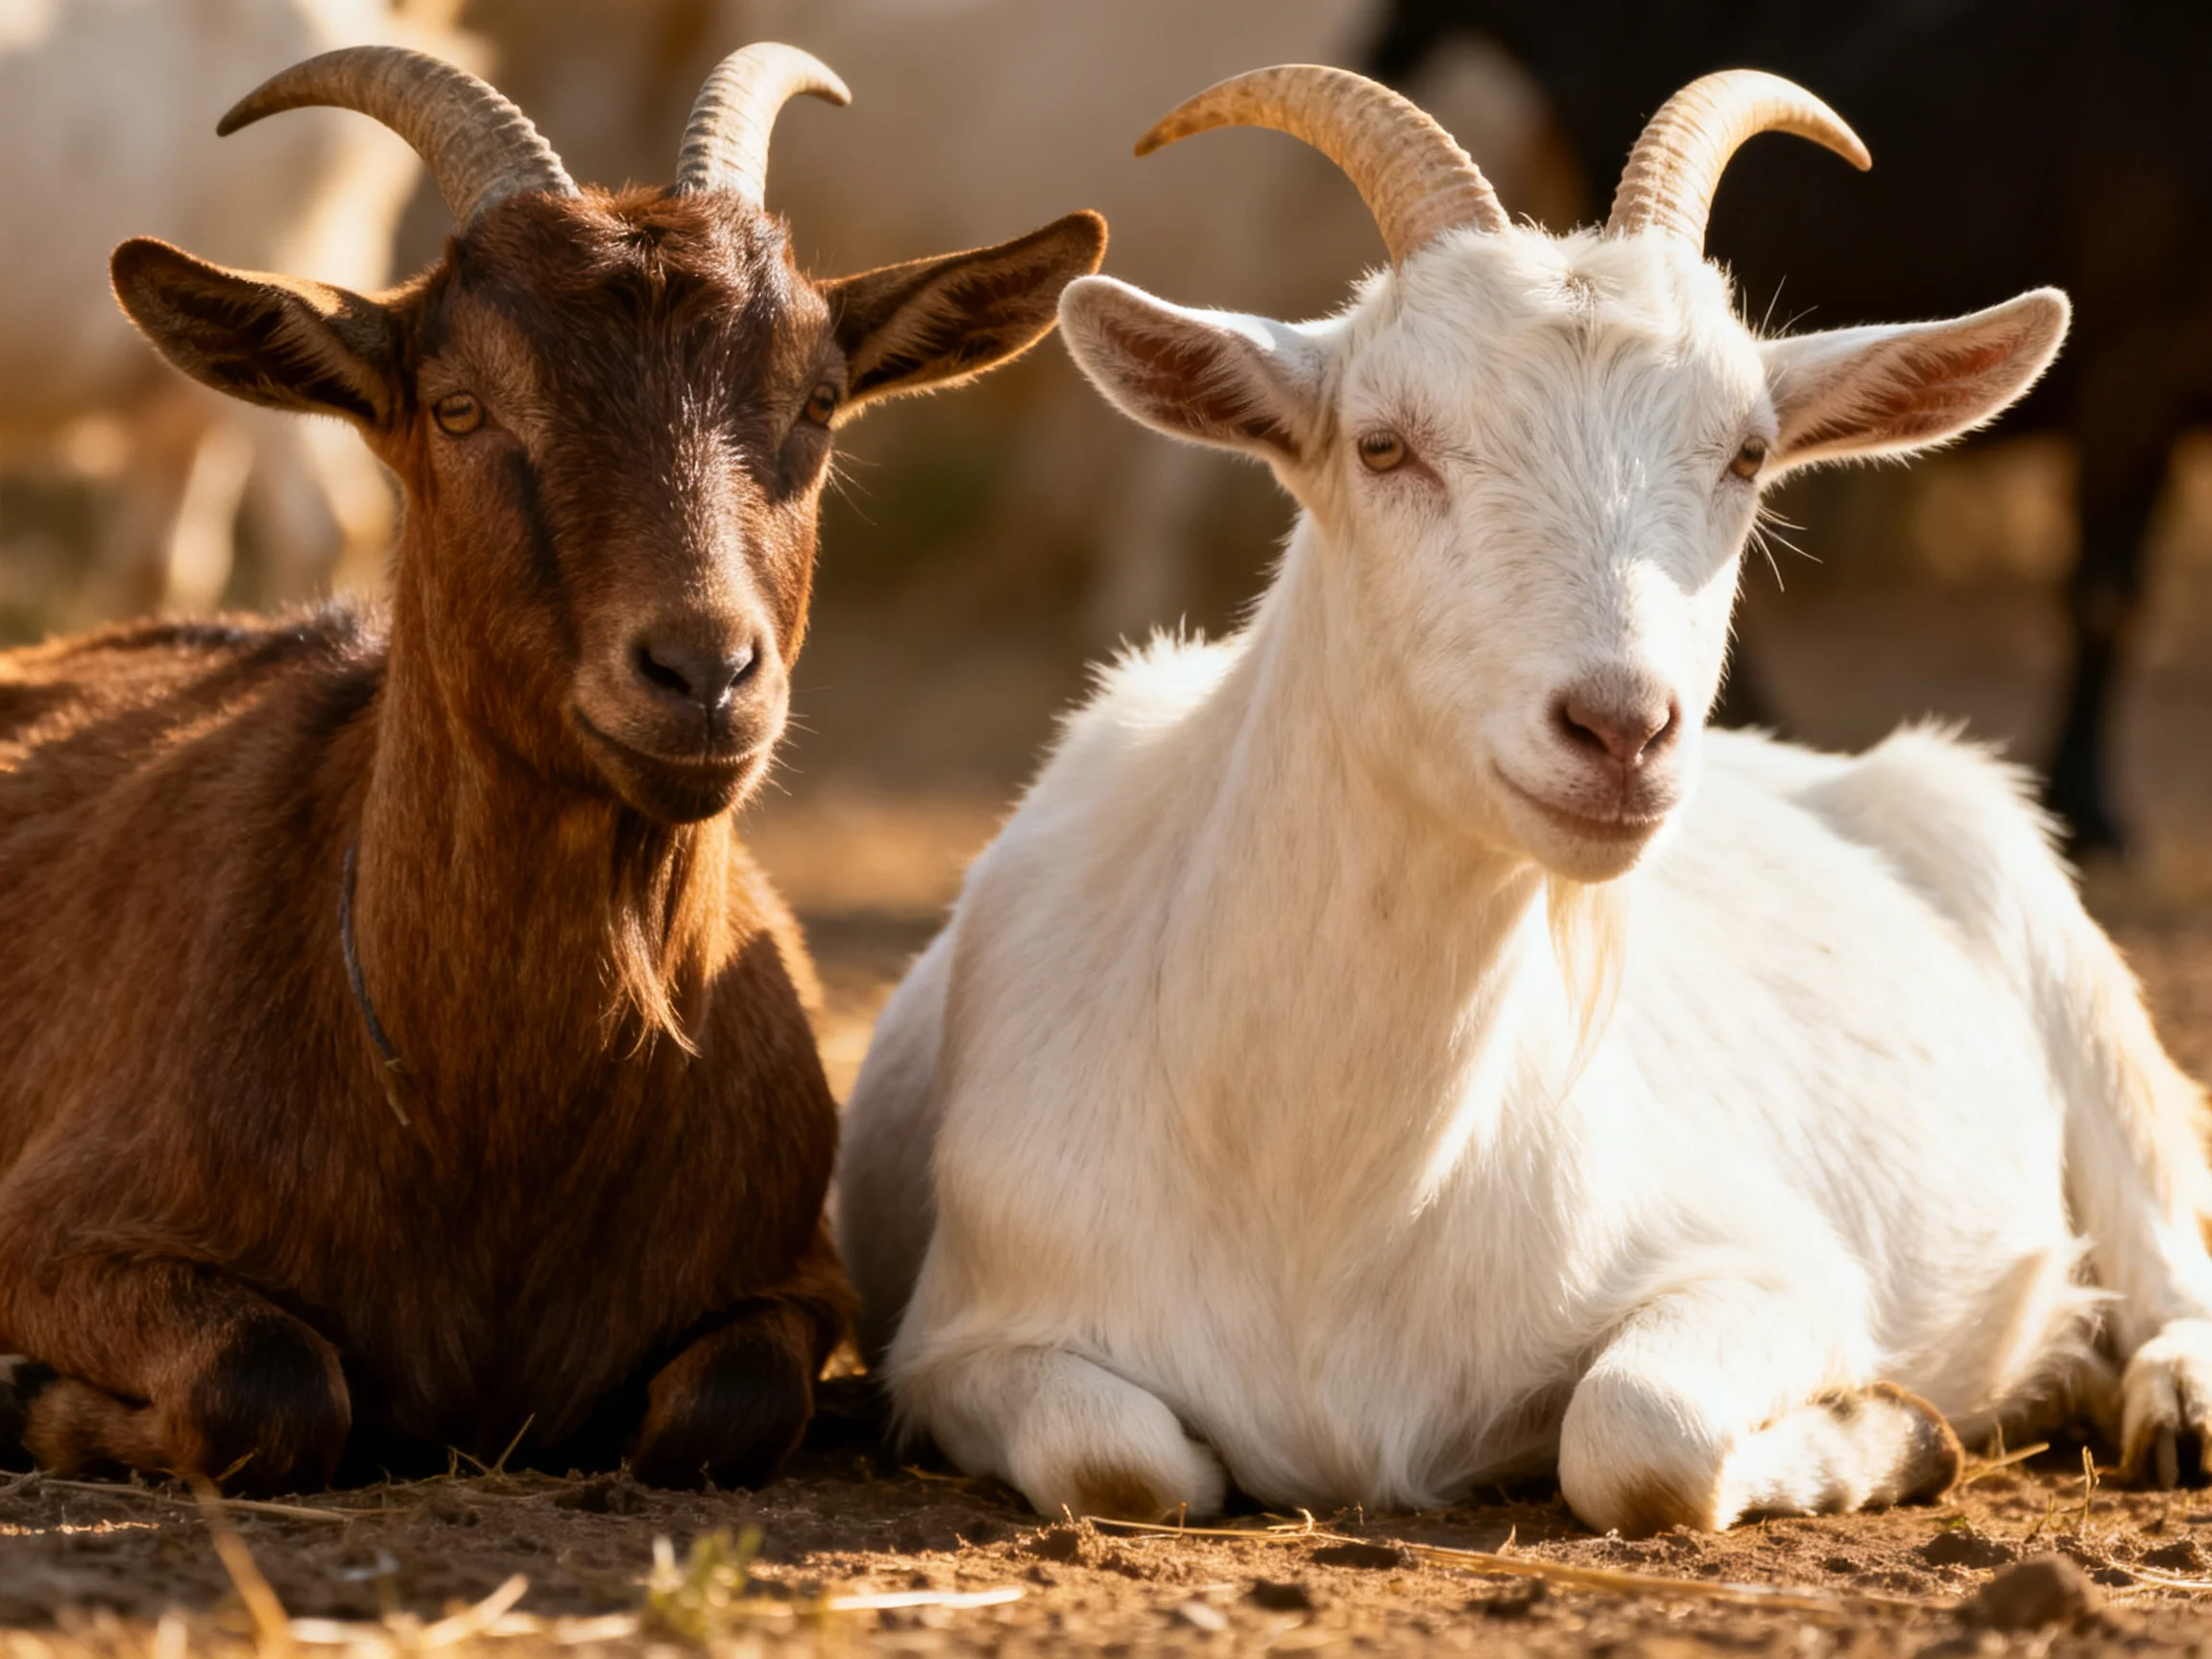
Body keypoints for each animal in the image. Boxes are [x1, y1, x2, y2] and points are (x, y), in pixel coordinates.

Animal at [0, 43, 1104, 1494]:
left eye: (816, 400)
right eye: (460, 405)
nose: (704, 671)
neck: (493, 1143)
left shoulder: (793, 1280)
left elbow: (728, 1405)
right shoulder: (52, 1231)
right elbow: (267, 1380)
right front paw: (32, 1394)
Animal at [837, 66, 2212, 1533]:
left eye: (1747, 453)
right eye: (1383, 444)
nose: (1623, 729)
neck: (1323, 1199)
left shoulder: (1775, 1267)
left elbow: (1637, 1431)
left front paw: (1897, 1429)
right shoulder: (958, 1339)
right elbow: (1121, 1462)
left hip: (2062, 963)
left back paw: (2169, 1397)